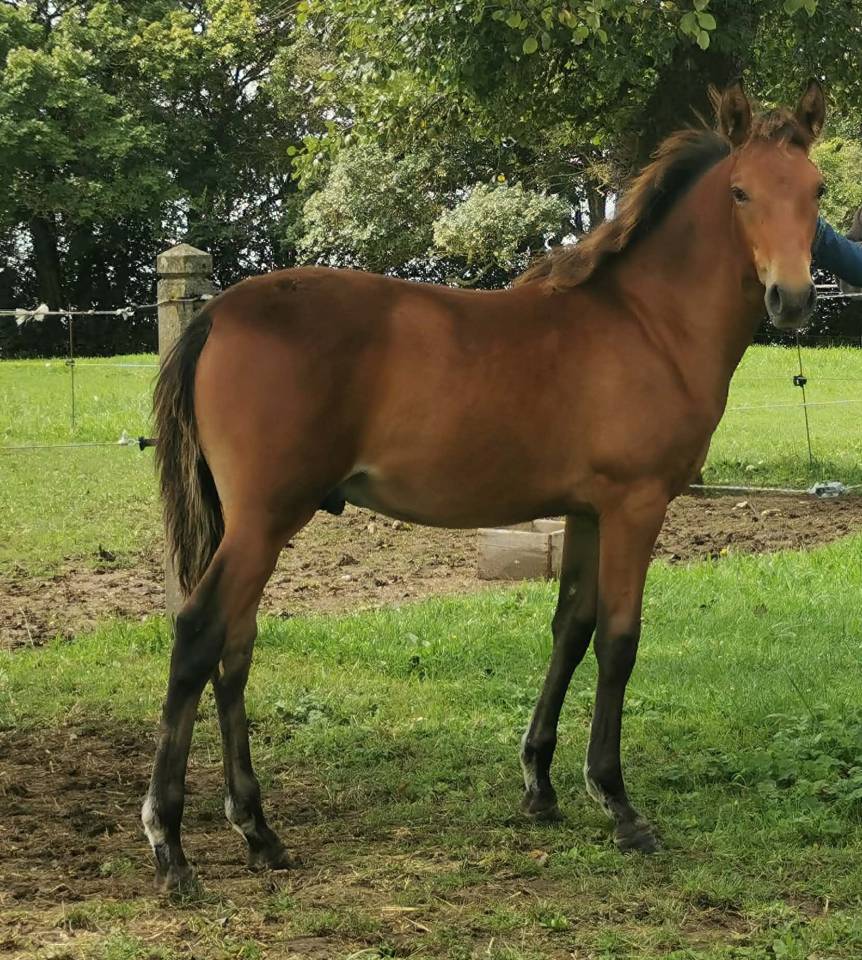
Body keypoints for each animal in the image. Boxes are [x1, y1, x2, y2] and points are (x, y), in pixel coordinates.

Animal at [143, 79, 827, 890]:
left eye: (818, 189)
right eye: (740, 191)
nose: (792, 299)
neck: (647, 324)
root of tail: (217, 312)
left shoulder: (587, 513)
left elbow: (571, 628)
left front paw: (541, 785)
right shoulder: (635, 505)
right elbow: (619, 640)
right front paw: (618, 803)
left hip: (255, 525)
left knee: (235, 647)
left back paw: (258, 830)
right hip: (264, 519)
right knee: (199, 635)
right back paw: (170, 842)